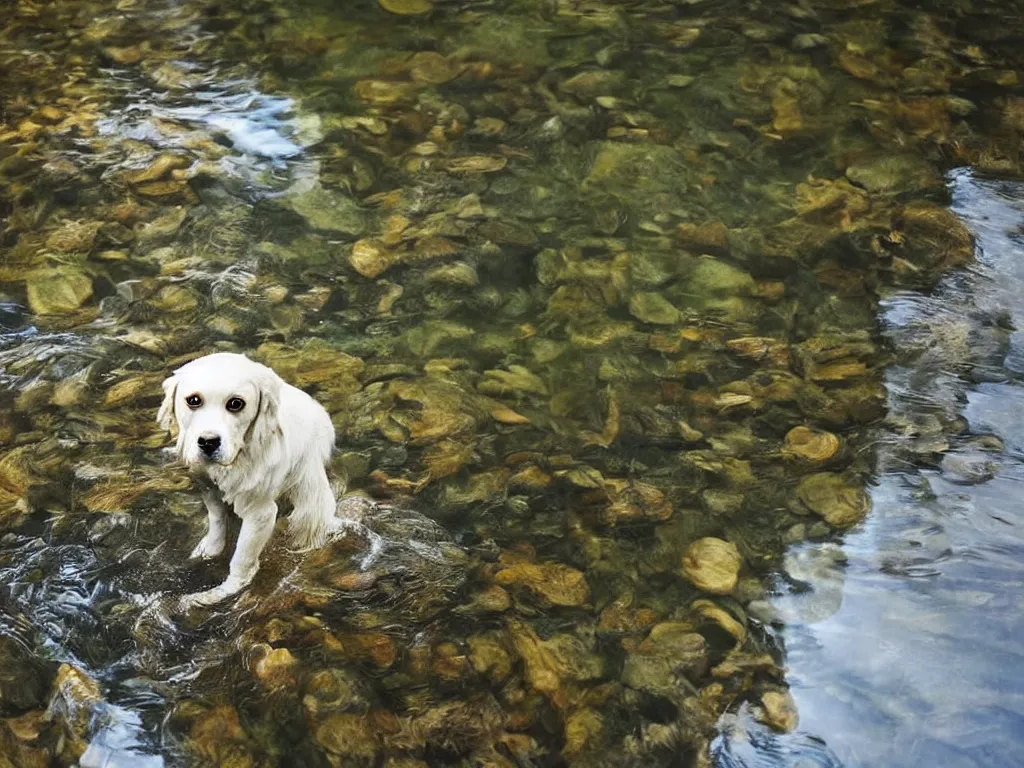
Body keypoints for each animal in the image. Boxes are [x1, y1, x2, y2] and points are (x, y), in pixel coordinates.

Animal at [156, 352, 339, 610]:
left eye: (236, 403)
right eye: (193, 400)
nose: (208, 442)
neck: (240, 457)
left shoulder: (260, 513)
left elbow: (242, 560)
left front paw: (219, 594)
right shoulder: (207, 484)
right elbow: (217, 518)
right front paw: (209, 549)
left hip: (308, 492)